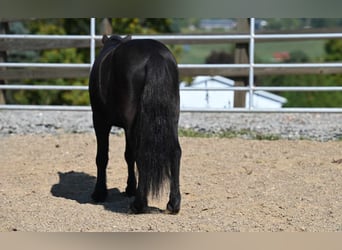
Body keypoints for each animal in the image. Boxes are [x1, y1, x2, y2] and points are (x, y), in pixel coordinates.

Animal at [89, 35, 183, 214]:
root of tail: (154, 55)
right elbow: (128, 155)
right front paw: (130, 188)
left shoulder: (100, 120)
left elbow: (102, 157)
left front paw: (99, 192)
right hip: (172, 119)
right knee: (175, 153)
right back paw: (173, 203)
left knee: (142, 154)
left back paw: (139, 204)